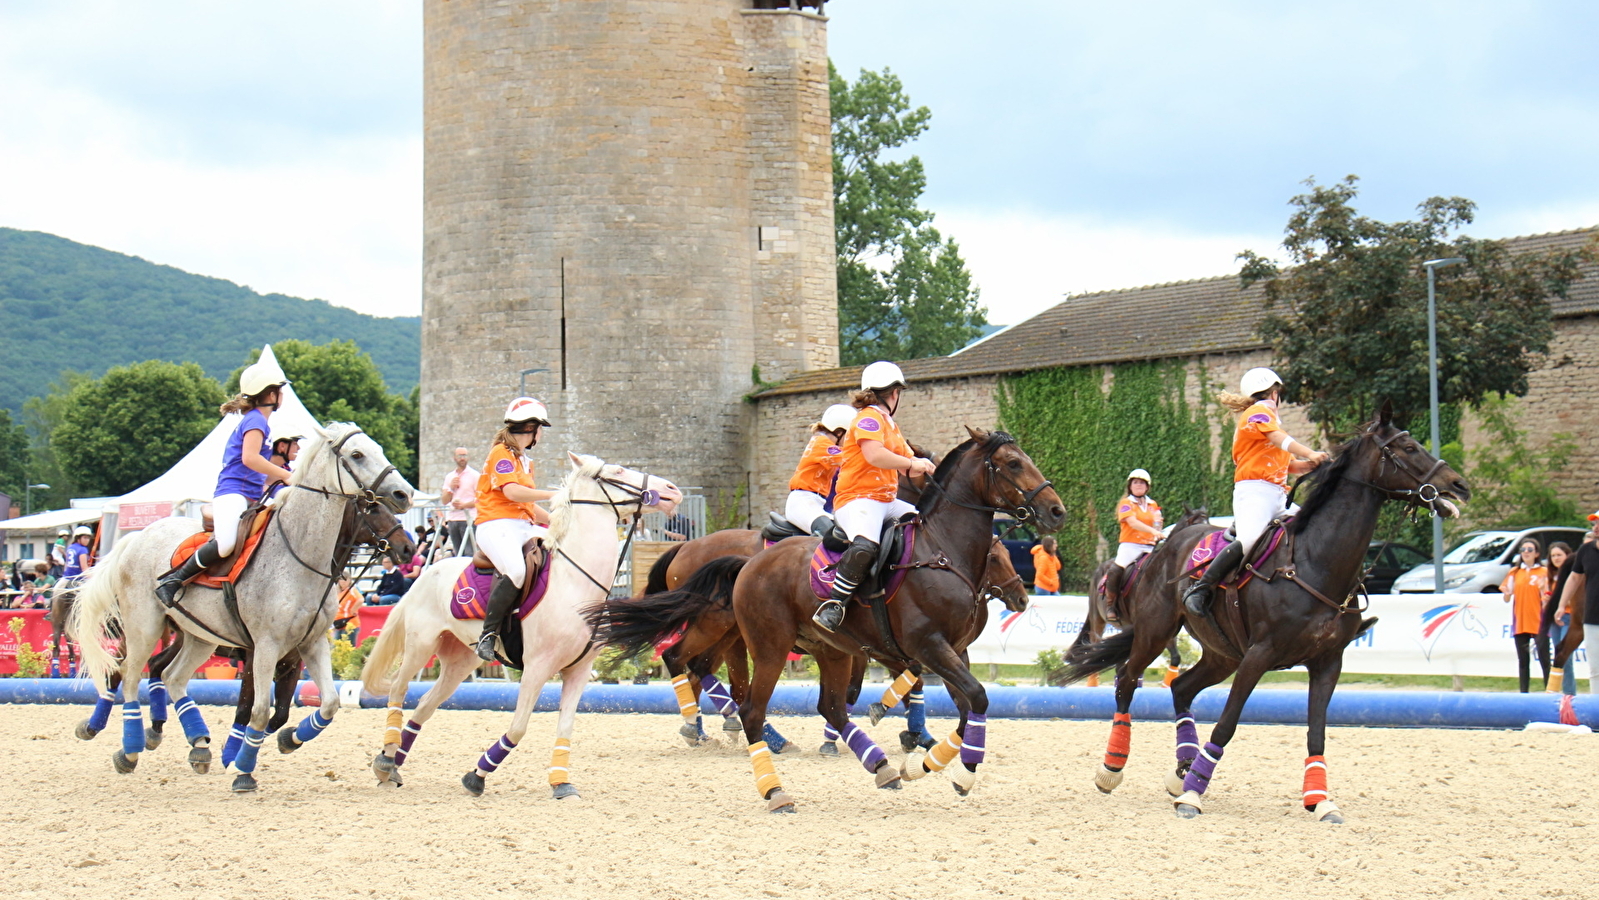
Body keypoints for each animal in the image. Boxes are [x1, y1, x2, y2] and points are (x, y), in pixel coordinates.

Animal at [71, 422, 415, 789]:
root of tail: (138, 535)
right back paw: (128, 746)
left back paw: (197, 744)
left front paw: (287, 740)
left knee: (170, 675)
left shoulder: (308, 646)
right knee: (127, 676)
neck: (302, 558)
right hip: (143, 626)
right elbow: (257, 711)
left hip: (199, 635)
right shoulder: (262, 648)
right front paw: (241, 768)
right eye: (357, 454)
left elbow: (326, 705)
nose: (404, 494)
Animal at [356, 453, 681, 799]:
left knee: (425, 707)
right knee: (398, 690)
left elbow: (565, 728)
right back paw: (385, 760)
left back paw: (394, 765)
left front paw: (561, 784)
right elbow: (518, 727)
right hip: (421, 646)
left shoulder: (578, 671)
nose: (672, 490)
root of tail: (427, 572)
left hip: (460, 660)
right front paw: (477, 776)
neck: (575, 582)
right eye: (618, 471)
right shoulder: (537, 668)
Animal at [588, 425, 1061, 812]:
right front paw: (958, 770)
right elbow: (972, 697)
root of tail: (746, 564)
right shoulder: (927, 646)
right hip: (761, 643)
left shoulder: (950, 651)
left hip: (822, 647)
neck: (943, 552)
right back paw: (771, 785)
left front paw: (924, 761)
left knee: (820, 703)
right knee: (736, 697)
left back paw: (879, 766)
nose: (1057, 511)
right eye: (1013, 463)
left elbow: (966, 706)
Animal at [1055, 404, 1464, 824]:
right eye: (1409, 447)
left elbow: (1316, 733)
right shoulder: (1259, 655)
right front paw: (1193, 798)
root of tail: (1165, 546)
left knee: (1181, 687)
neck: (1317, 561)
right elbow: (1226, 725)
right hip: (1157, 631)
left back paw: (1184, 768)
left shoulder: (1328, 662)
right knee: (1126, 679)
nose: (1458, 485)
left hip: (1221, 653)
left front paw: (1320, 801)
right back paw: (1113, 766)